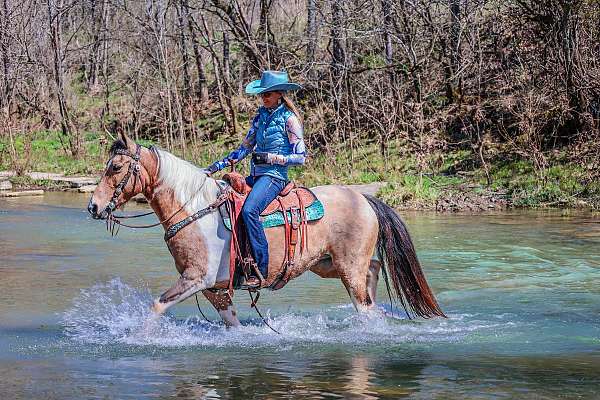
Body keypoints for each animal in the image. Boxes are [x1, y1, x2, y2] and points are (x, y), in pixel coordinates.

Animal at [88, 133, 446, 326]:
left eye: (116, 167)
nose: (93, 206)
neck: (194, 209)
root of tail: (364, 198)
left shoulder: (196, 279)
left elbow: (156, 307)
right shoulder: (213, 287)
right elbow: (231, 320)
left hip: (347, 268)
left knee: (364, 298)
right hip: (326, 265)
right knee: (373, 270)